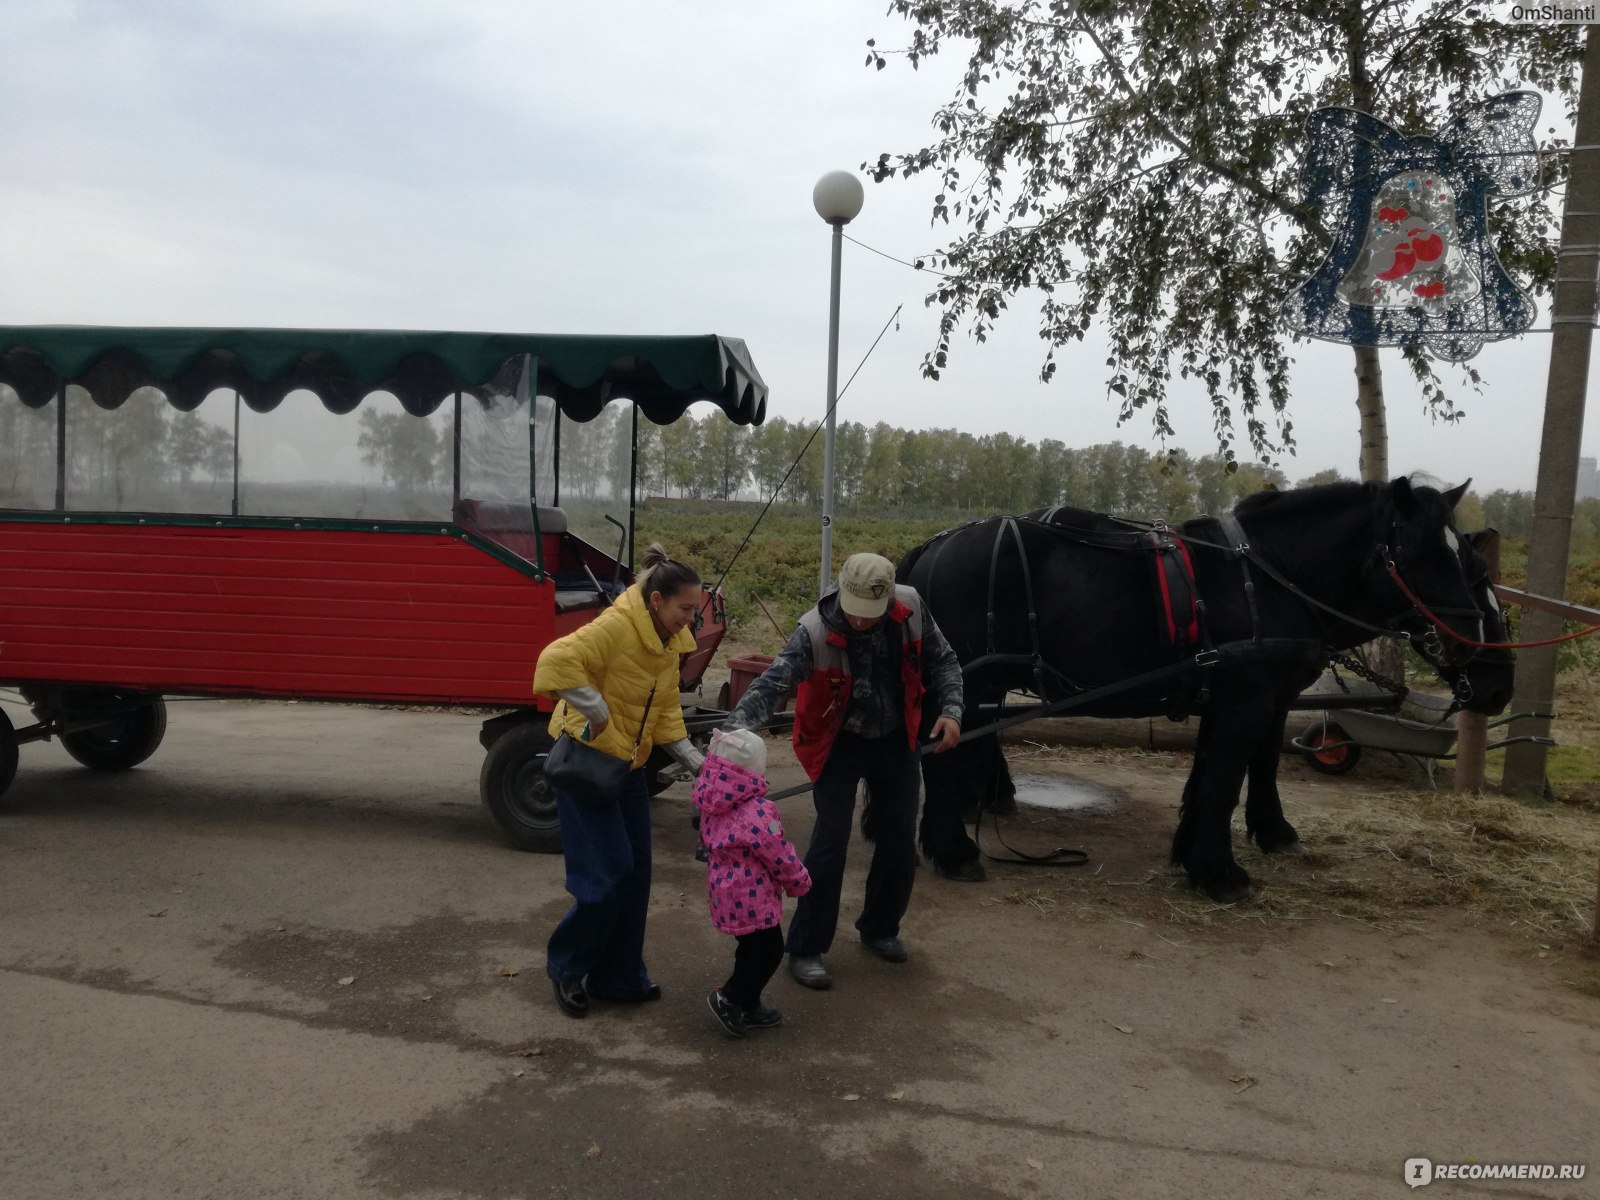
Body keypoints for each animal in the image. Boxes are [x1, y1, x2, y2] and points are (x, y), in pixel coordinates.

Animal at [908, 476, 1504, 902]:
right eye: (1427, 554)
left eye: (1469, 563)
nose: (1476, 650)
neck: (1270, 576)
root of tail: (935, 547)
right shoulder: (1246, 700)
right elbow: (1225, 779)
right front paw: (1218, 871)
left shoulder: (1258, 699)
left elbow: (1237, 770)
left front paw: (1248, 838)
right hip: (974, 682)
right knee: (941, 760)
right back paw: (955, 850)